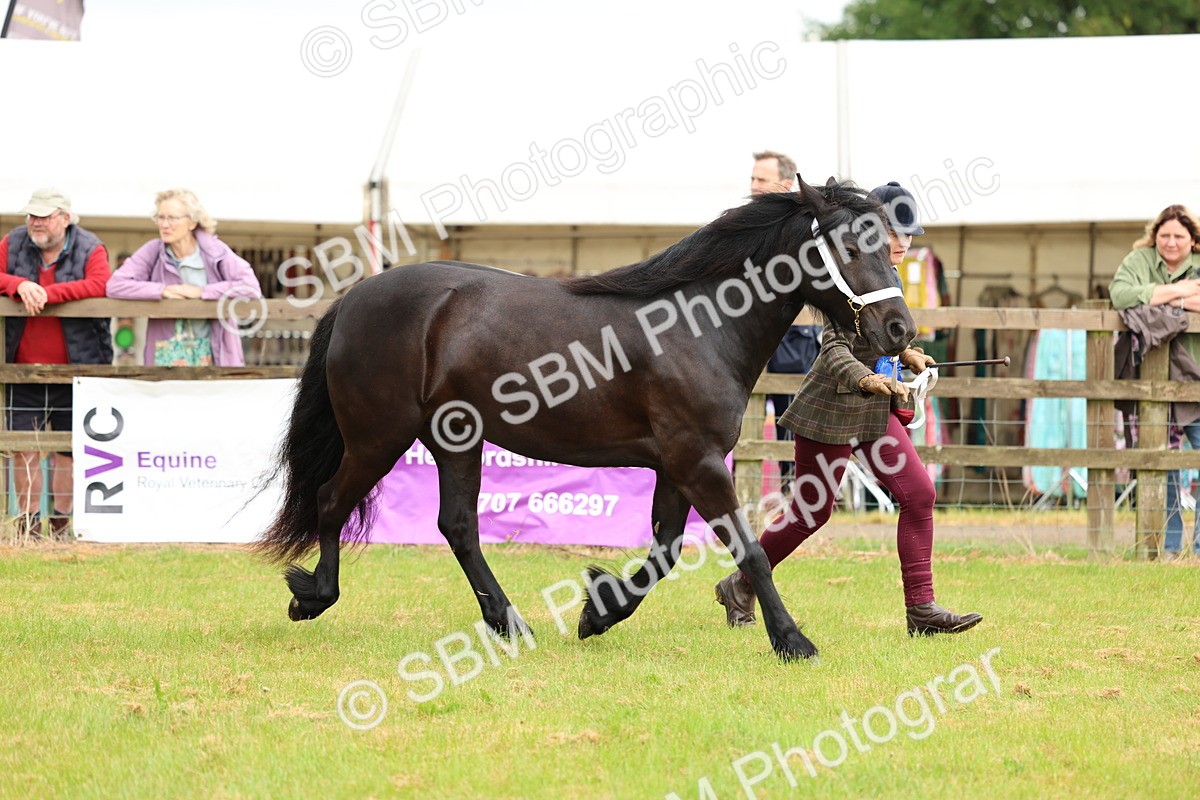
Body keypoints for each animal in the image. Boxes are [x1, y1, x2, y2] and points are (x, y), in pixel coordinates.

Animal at [255, 176, 916, 661]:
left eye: (887, 246)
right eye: (850, 248)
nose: (899, 330)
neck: (698, 326)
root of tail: (355, 297)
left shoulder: (675, 466)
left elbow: (665, 550)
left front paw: (598, 612)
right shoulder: (698, 462)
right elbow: (747, 548)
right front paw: (793, 640)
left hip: (454, 440)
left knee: (457, 526)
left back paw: (508, 623)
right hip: (378, 437)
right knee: (332, 501)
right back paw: (313, 597)